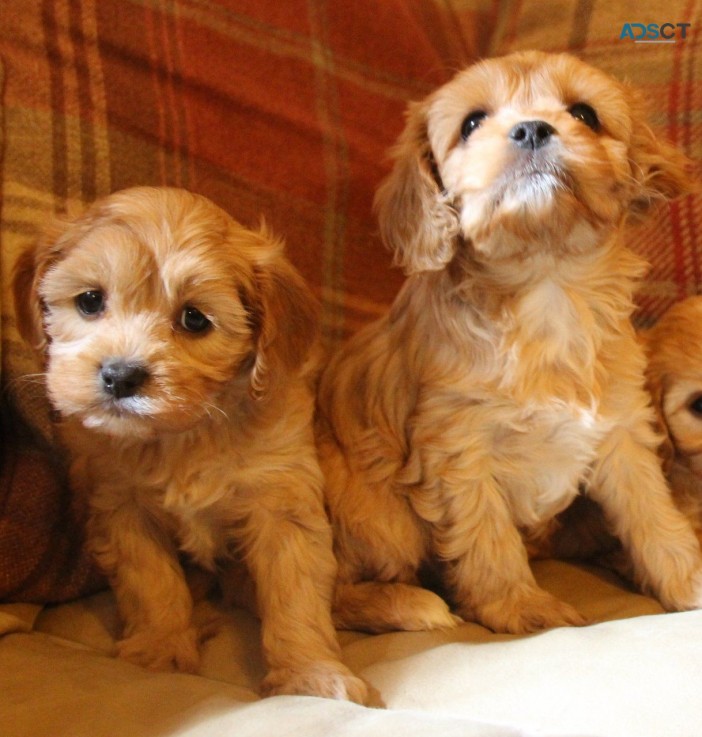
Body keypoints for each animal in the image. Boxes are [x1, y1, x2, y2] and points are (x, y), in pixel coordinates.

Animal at [13, 187, 376, 704]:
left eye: (194, 319)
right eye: (90, 300)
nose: (120, 375)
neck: (183, 435)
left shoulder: (281, 497)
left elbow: (295, 591)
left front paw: (311, 673)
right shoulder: (119, 505)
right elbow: (150, 580)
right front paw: (160, 648)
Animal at [316, 49, 702, 636]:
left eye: (585, 114)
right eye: (472, 123)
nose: (531, 128)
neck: (546, 284)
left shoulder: (623, 427)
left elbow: (652, 510)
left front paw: (688, 576)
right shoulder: (458, 448)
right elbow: (487, 536)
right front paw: (523, 609)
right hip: (377, 516)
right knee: (329, 591)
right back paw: (409, 604)